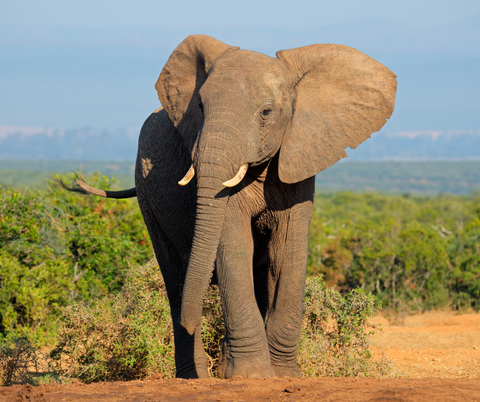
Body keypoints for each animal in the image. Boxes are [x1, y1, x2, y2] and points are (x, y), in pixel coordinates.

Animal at [68, 34, 398, 380]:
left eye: (266, 112)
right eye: (200, 106)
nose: (192, 320)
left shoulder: (300, 157)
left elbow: (287, 251)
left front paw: (283, 376)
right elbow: (234, 245)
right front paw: (252, 376)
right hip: (145, 190)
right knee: (174, 276)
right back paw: (194, 375)